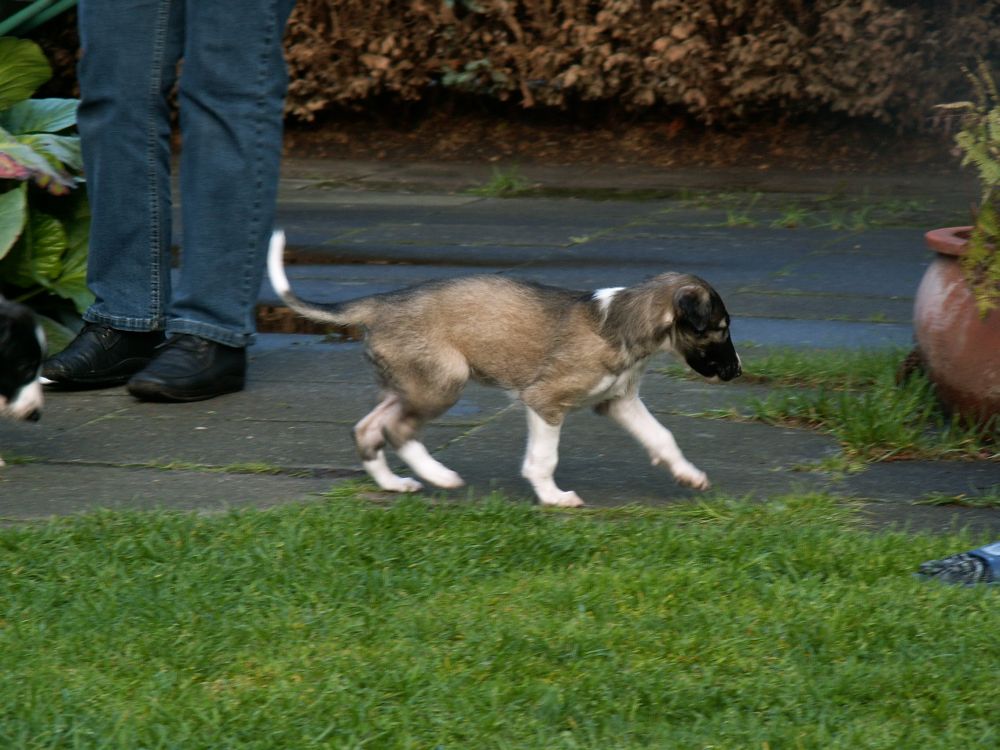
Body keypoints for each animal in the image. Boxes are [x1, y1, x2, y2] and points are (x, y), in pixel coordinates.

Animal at [267, 230, 741, 507]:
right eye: (720, 329)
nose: (736, 372)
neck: (624, 324)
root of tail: (380, 303)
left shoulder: (618, 400)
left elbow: (662, 437)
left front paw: (689, 476)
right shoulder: (545, 400)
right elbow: (544, 458)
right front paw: (553, 497)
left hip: (408, 384)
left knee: (367, 429)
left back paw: (396, 485)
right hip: (443, 381)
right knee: (396, 430)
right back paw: (441, 477)